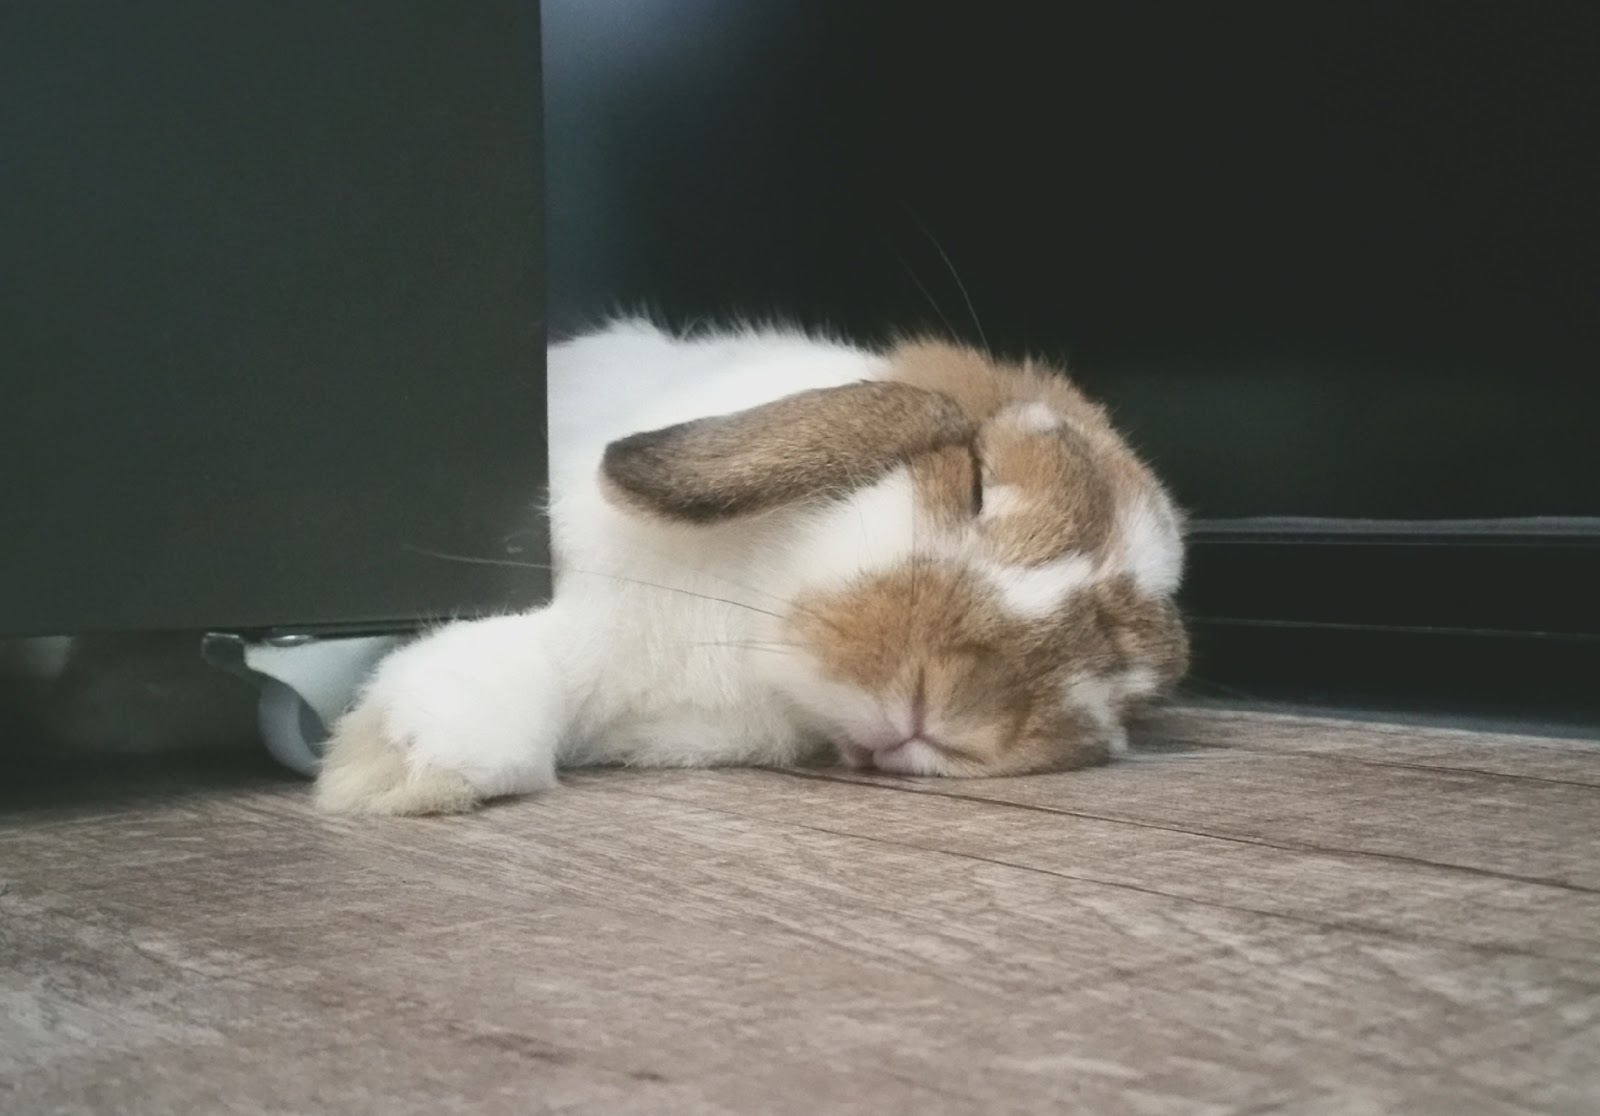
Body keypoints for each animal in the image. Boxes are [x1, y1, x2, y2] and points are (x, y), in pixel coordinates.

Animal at [315, 319, 1188, 815]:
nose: (950, 708)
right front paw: (387, 776)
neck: (745, 633)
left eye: (1119, 665)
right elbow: (500, 695)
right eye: (975, 482)